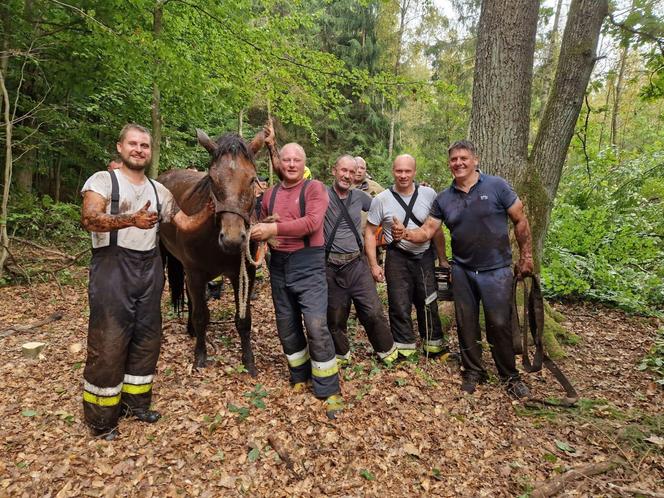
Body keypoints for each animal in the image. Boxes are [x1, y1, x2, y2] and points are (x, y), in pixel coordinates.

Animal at [158, 128, 264, 374]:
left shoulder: (244, 274)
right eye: (212, 179)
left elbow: (244, 319)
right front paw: (200, 356)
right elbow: (201, 316)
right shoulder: (196, 273)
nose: (233, 239)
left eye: (252, 179)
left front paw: (249, 361)